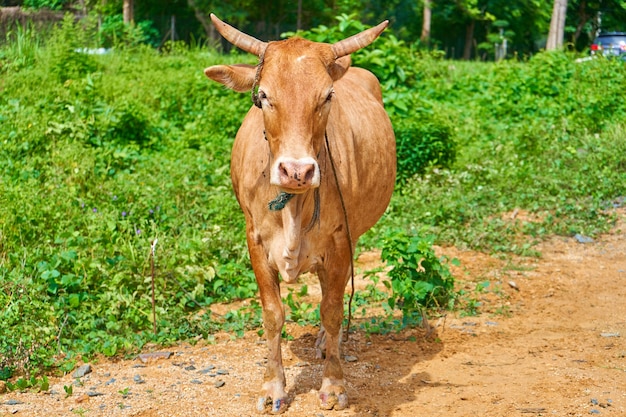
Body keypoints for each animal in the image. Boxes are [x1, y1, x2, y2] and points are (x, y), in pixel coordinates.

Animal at [202, 14, 392, 414]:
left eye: (327, 96)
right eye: (263, 96)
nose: (297, 171)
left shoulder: (340, 240)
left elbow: (332, 310)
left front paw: (333, 384)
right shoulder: (255, 240)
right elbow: (273, 315)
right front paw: (272, 386)